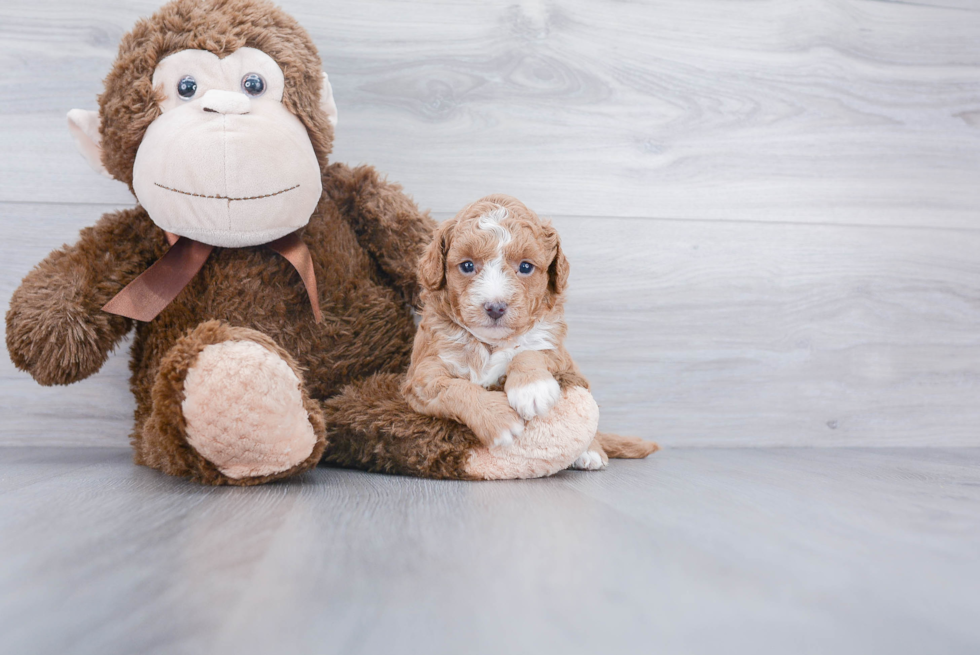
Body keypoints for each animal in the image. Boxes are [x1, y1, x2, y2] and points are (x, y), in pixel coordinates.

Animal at [402, 192, 656, 468]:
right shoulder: (423, 373)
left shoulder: (558, 353)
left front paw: (531, 389)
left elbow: (530, 352)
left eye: (525, 267)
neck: (492, 344)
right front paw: (499, 419)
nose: (495, 307)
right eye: (467, 266)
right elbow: (454, 388)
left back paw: (591, 451)